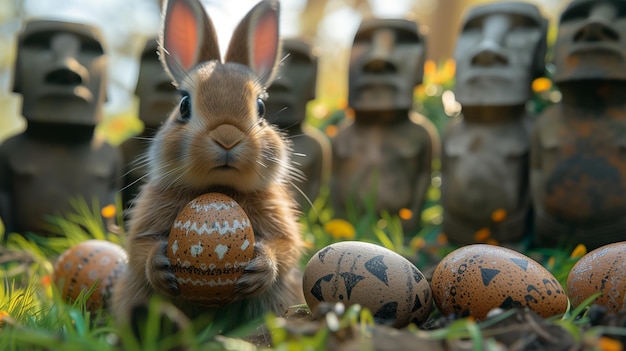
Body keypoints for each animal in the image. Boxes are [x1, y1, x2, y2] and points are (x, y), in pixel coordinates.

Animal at [112, 0, 308, 332]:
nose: (227, 138)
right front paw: (159, 265)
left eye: (261, 108)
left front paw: (261, 268)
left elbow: (286, 246)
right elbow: (139, 248)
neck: (218, 188)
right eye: (184, 105)